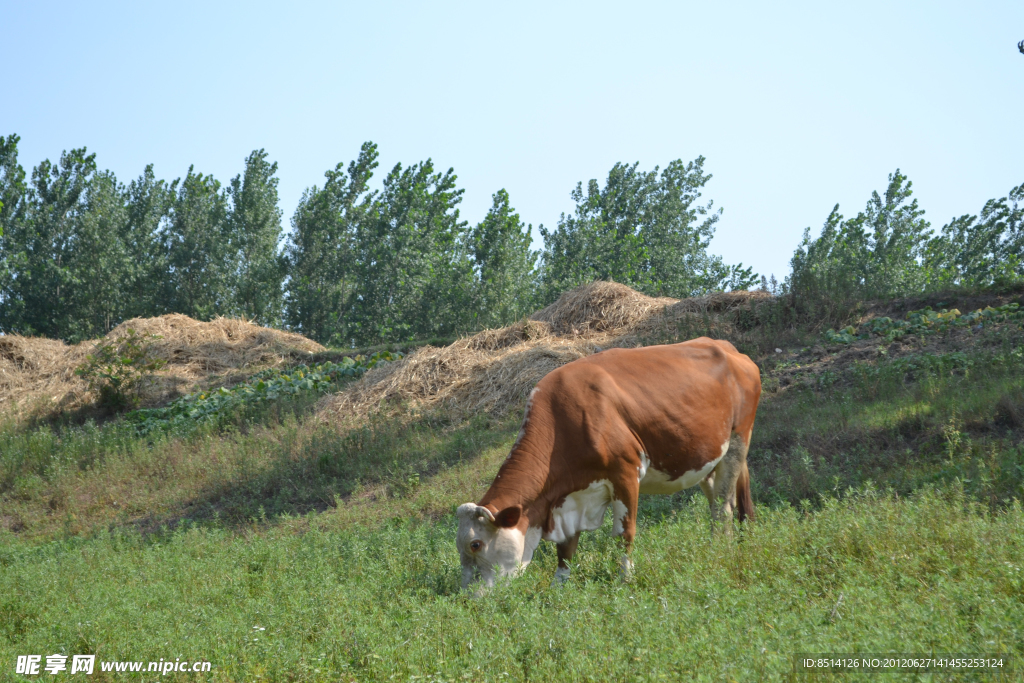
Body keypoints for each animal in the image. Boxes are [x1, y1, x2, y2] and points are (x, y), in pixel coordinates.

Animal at [456, 339, 761, 589]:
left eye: (475, 544)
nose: (469, 597)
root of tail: (728, 348)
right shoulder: (569, 500)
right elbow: (565, 550)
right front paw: (558, 589)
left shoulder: (625, 473)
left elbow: (624, 533)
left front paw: (625, 579)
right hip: (707, 458)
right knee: (717, 503)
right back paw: (721, 544)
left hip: (738, 440)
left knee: (724, 507)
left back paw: (721, 552)